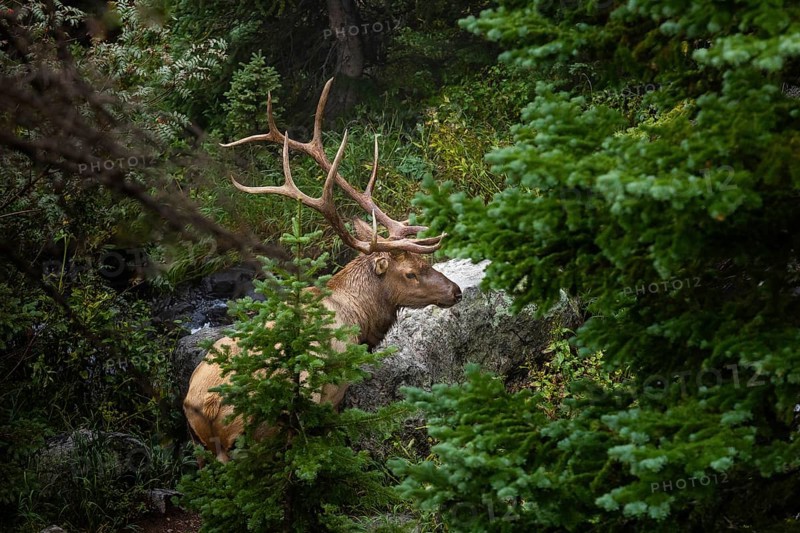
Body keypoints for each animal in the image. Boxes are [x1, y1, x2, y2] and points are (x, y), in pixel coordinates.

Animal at [183, 79, 462, 463]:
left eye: (428, 263)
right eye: (410, 272)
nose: (456, 291)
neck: (360, 320)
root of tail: (206, 408)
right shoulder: (331, 391)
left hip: (201, 446)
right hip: (259, 428)